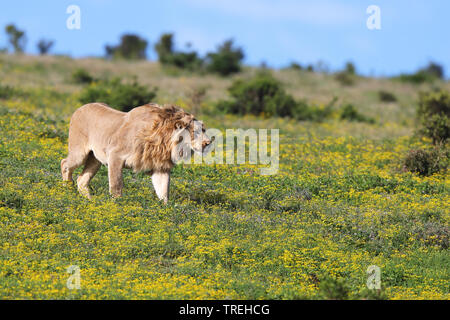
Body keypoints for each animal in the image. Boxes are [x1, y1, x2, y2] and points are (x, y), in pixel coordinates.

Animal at [60, 102, 213, 202]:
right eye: (196, 131)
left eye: (204, 129)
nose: (208, 142)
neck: (164, 141)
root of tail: (80, 108)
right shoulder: (115, 156)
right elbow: (116, 185)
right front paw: (117, 206)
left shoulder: (160, 167)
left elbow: (163, 191)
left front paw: (165, 212)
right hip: (79, 152)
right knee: (65, 163)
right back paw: (67, 191)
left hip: (95, 159)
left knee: (81, 180)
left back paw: (90, 202)